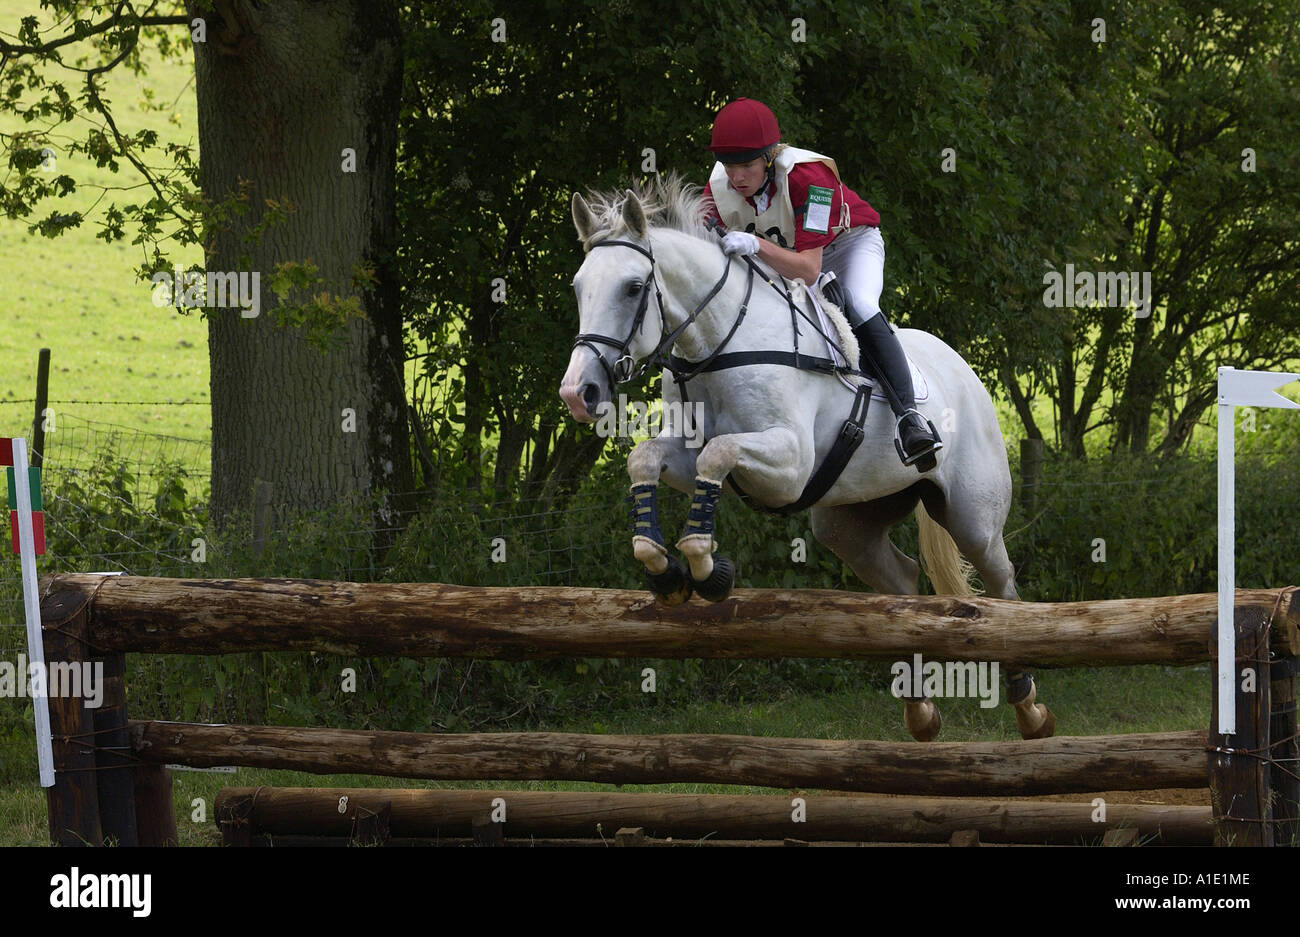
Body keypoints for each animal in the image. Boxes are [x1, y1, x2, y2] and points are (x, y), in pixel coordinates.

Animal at [558, 177, 1052, 742]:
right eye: (578, 288)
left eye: (633, 287)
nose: (579, 393)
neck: (718, 344)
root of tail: (963, 370)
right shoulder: (687, 453)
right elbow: (646, 460)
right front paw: (663, 568)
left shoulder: (789, 467)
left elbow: (718, 455)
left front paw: (707, 567)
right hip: (849, 523)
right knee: (902, 579)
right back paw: (921, 711)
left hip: (973, 519)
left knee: (1001, 588)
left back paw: (1029, 707)